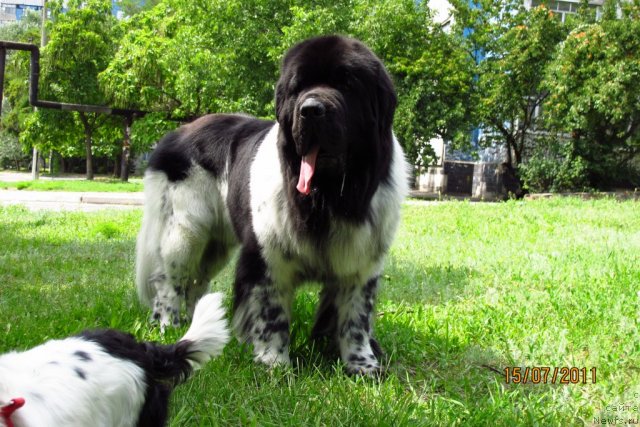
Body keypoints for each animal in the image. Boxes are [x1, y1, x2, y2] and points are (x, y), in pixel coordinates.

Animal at [135, 36, 410, 374]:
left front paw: (362, 364)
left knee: (196, 281)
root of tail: (175, 133)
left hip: (215, 245)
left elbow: (355, 317)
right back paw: (169, 325)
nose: (310, 110)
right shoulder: (267, 257)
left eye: (347, 84)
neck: (328, 197)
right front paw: (274, 363)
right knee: (170, 280)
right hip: (186, 232)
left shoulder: (361, 263)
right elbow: (271, 312)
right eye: (298, 87)